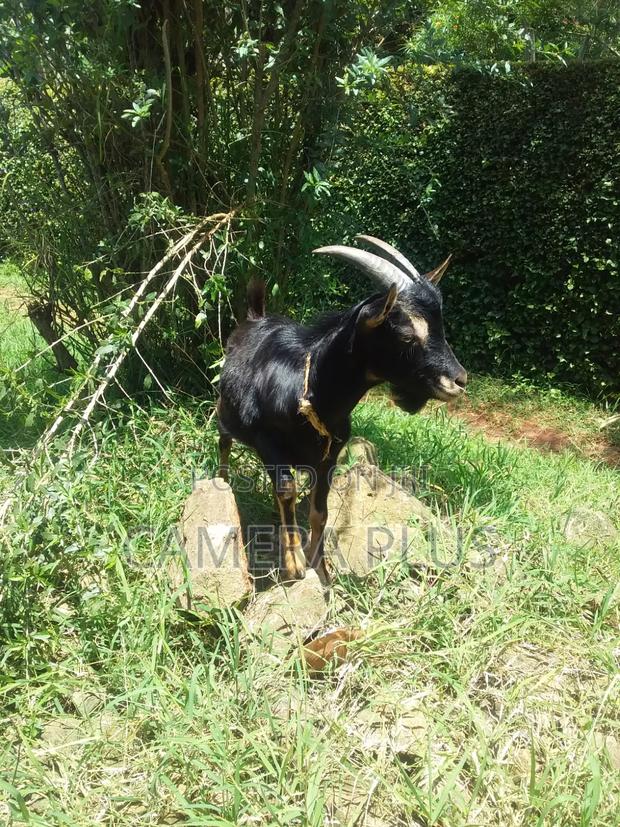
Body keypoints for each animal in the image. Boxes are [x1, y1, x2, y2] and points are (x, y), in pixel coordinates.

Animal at [216, 235, 467, 582]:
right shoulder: (268, 442)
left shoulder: (329, 457)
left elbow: (320, 511)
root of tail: (255, 316)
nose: (459, 380)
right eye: (407, 335)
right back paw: (222, 483)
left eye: (441, 327)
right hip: (224, 413)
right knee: (224, 444)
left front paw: (321, 568)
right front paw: (294, 563)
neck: (310, 390)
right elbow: (287, 490)